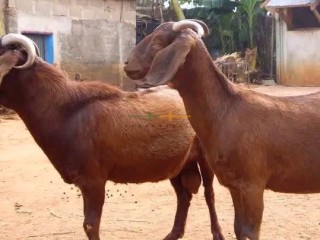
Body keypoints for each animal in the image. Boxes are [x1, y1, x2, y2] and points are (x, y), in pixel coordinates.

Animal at [0, 33, 225, 240]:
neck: (65, 111)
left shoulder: (94, 180)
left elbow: (90, 225)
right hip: (177, 165)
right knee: (183, 196)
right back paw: (173, 234)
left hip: (204, 158)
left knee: (209, 194)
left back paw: (217, 233)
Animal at [124, 20, 320, 240]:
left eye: (158, 42)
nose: (127, 63)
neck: (226, 112)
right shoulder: (234, 184)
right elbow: (238, 228)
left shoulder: (253, 185)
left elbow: (250, 232)